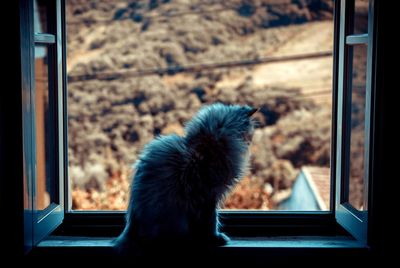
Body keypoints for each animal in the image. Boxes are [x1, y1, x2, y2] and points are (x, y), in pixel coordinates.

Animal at [114, 102, 258, 253]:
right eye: (250, 133)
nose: (250, 141)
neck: (210, 143)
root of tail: (130, 231)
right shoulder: (208, 196)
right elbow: (212, 221)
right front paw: (215, 238)